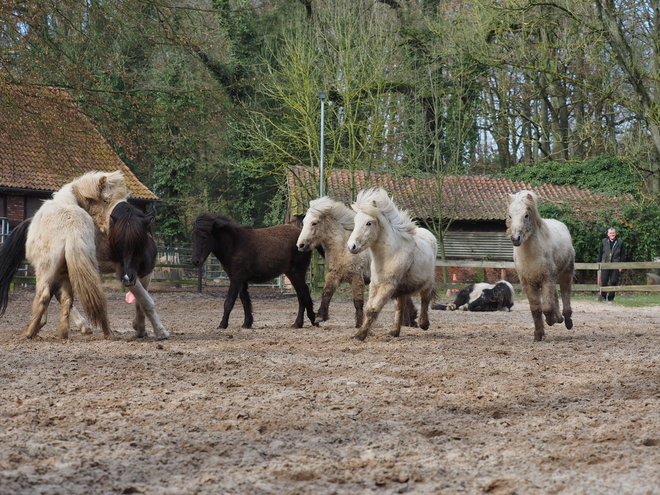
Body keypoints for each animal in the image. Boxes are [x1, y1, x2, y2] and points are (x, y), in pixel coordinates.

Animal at [0, 172, 121, 340]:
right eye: (106, 200)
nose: (110, 227)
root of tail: (72, 229)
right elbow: (66, 299)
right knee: (89, 298)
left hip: (45, 269)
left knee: (44, 296)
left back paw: (29, 332)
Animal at [296, 198, 418, 330]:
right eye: (304, 222)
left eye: (314, 223)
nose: (300, 245)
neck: (343, 248)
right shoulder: (334, 275)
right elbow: (326, 293)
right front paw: (320, 317)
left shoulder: (356, 278)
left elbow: (358, 302)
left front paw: (359, 323)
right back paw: (409, 321)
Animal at [508, 190, 576, 340]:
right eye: (510, 215)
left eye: (526, 215)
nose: (516, 239)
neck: (532, 256)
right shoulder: (529, 284)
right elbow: (536, 309)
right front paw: (538, 334)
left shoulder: (546, 280)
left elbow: (547, 308)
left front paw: (551, 321)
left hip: (566, 274)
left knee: (565, 293)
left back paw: (567, 320)